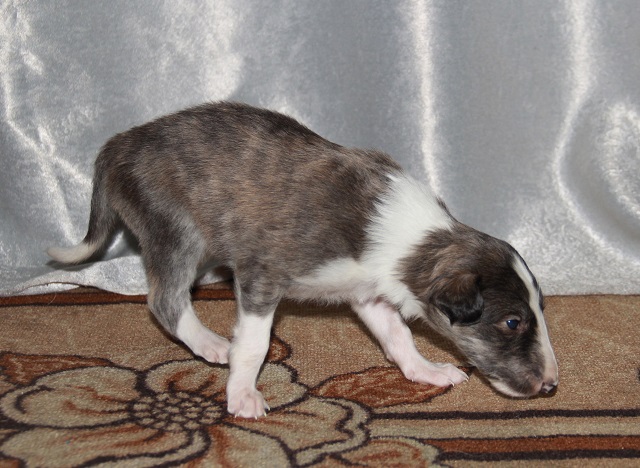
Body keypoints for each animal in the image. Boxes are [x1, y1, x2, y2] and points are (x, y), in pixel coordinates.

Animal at [48, 102, 558, 418]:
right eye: (512, 322)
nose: (552, 385)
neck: (415, 237)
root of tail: (117, 145)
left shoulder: (369, 293)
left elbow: (399, 336)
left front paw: (426, 371)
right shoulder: (261, 276)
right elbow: (254, 345)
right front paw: (243, 393)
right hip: (176, 231)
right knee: (165, 300)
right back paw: (212, 344)